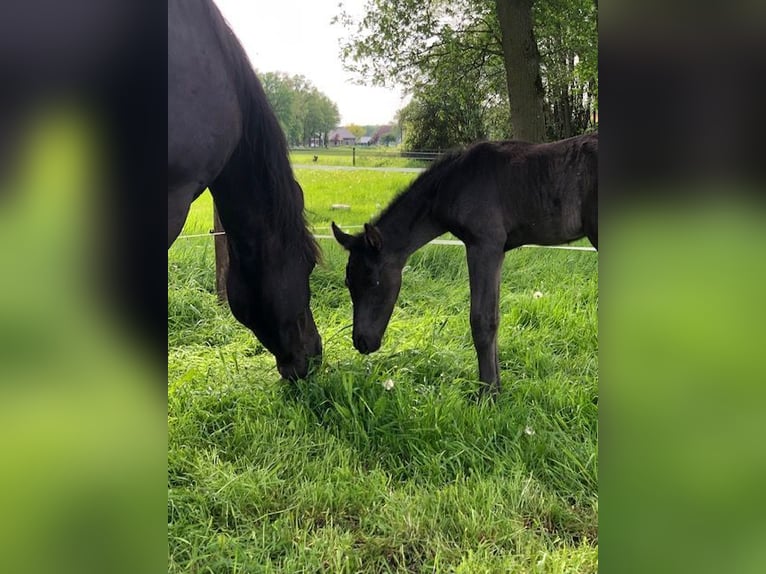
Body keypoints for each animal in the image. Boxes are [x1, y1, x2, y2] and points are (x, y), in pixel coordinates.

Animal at [332, 134, 596, 396]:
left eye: (372, 281)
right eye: (348, 282)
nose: (361, 342)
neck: (451, 184)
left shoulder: (483, 246)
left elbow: (482, 320)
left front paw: (487, 394)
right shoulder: (496, 251)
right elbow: (494, 317)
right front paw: (497, 388)